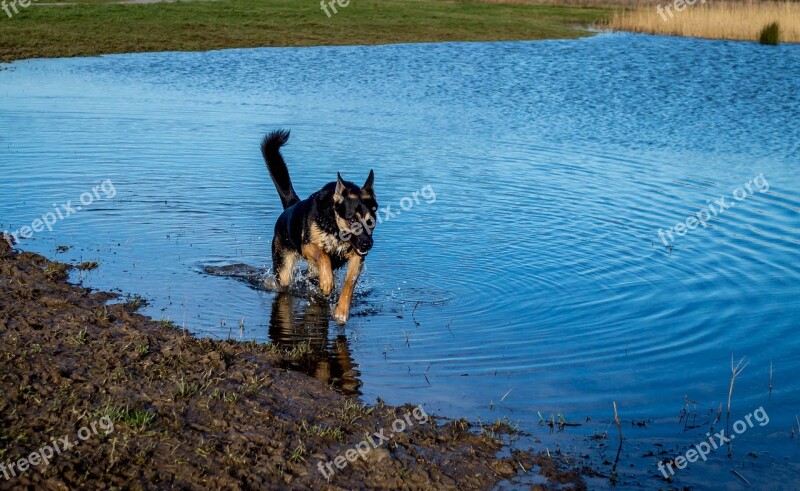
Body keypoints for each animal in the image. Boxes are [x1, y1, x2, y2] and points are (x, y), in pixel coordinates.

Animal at [260, 130, 378, 326]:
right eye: (352, 219)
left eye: (371, 221)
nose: (367, 245)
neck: (335, 228)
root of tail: (291, 206)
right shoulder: (308, 246)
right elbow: (324, 257)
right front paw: (328, 282)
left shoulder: (357, 258)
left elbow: (349, 284)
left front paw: (341, 311)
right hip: (284, 270)